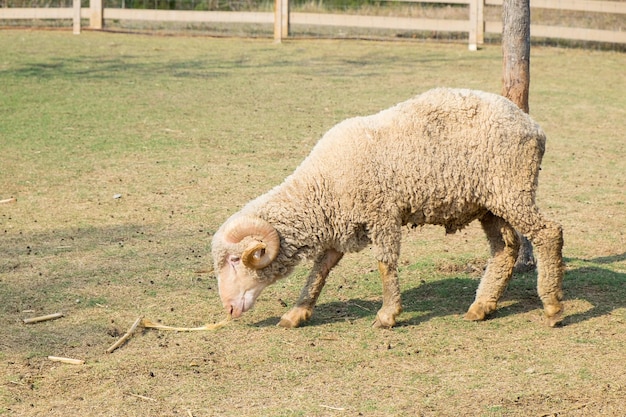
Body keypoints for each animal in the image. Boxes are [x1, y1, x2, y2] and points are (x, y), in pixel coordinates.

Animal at [212, 88, 564, 328]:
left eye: (235, 260)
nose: (228, 308)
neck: (322, 183)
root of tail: (533, 126)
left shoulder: (380, 213)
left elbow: (385, 263)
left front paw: (387, 314)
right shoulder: (342, 224)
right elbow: (320, 270)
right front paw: (297, 312)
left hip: (513, 189)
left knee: (549, 233)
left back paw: (552, 306)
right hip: (489, 203)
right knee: (506, 247)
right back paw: (482, 306)